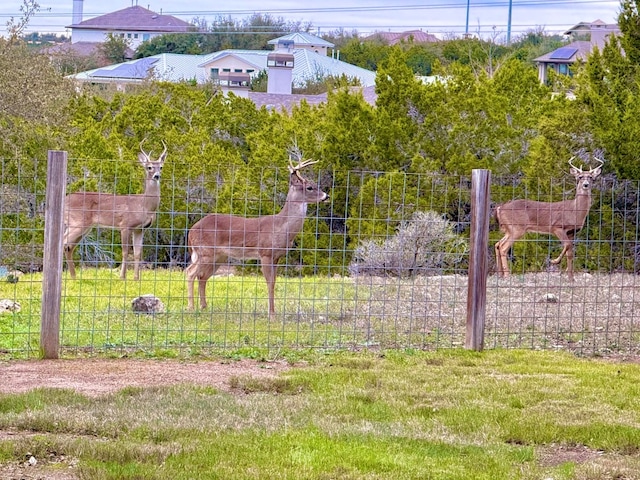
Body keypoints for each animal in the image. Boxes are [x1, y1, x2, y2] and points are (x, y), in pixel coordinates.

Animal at [62, 141, 166, 280]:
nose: (157, 176)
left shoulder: (140, 229)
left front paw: (136, 278)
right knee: (64, 242)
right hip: (78, 222)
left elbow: (137, 253)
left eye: (161, 167)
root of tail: (64, 199)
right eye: (149, 167)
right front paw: (122, 277)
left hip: (84, 226)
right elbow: (125, 251)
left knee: (69, 246)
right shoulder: (125, 225)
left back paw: (74, 276)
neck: (144, 205)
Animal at [184, 156, 324, 318]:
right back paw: (191, 308)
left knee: (202, 276)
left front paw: (273, 312)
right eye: (310, 188)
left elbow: (274, 282)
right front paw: (271, 315)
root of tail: (191, 230)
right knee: (190, 272)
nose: (326, 196)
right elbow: (269, 282)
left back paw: (204, 307)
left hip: (218, 256)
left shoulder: (277, 256)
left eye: (316, 185)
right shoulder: (265, 253)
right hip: (204, 251)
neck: (282, 227)